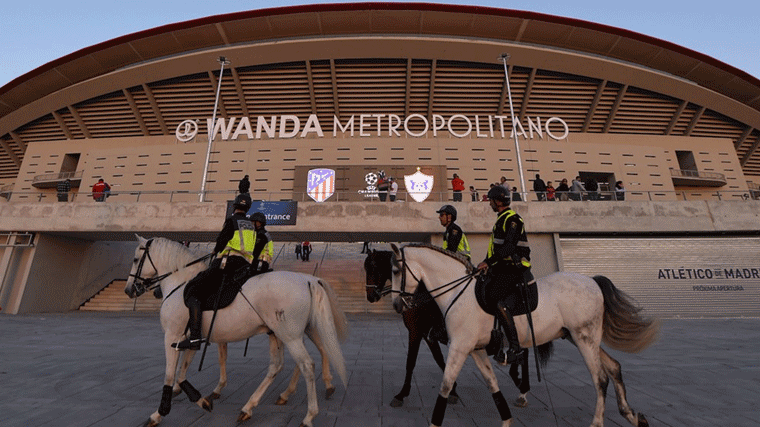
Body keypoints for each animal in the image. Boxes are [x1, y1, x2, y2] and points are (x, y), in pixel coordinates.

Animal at [124, 236, 348, 427]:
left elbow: (170, 375)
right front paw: (202, 400)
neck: (180, 283)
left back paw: (309, 415)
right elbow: (182, 373)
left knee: (306, 365)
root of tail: (308, 279)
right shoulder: (189, 338)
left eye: (135, 259)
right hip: (285, 333)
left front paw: (159, 413)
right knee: (283, 363)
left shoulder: (172, 336)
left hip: (290, 335)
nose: (128, 290)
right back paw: (252, 407)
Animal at [364, 251, 528, 408]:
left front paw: (402, 394)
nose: (371, 296)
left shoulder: (416, 331)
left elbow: (411, 362)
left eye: (373, 268)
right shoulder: (427, 334)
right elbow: (439, 359)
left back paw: (521, 385)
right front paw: (453, 389)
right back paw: (520, 384)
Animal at [388, 244, 656, 427]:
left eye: (395, 269)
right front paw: (507, 419)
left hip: (584, 338)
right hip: (578, 337)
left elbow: (444, 385)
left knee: (600, 377)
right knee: (614, 367)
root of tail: (591, 280)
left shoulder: (459, 346)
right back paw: (632, 415)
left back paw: (597, 422)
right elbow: (492, 383)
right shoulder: (474, 349)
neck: (457, 291)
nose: (397, 305)